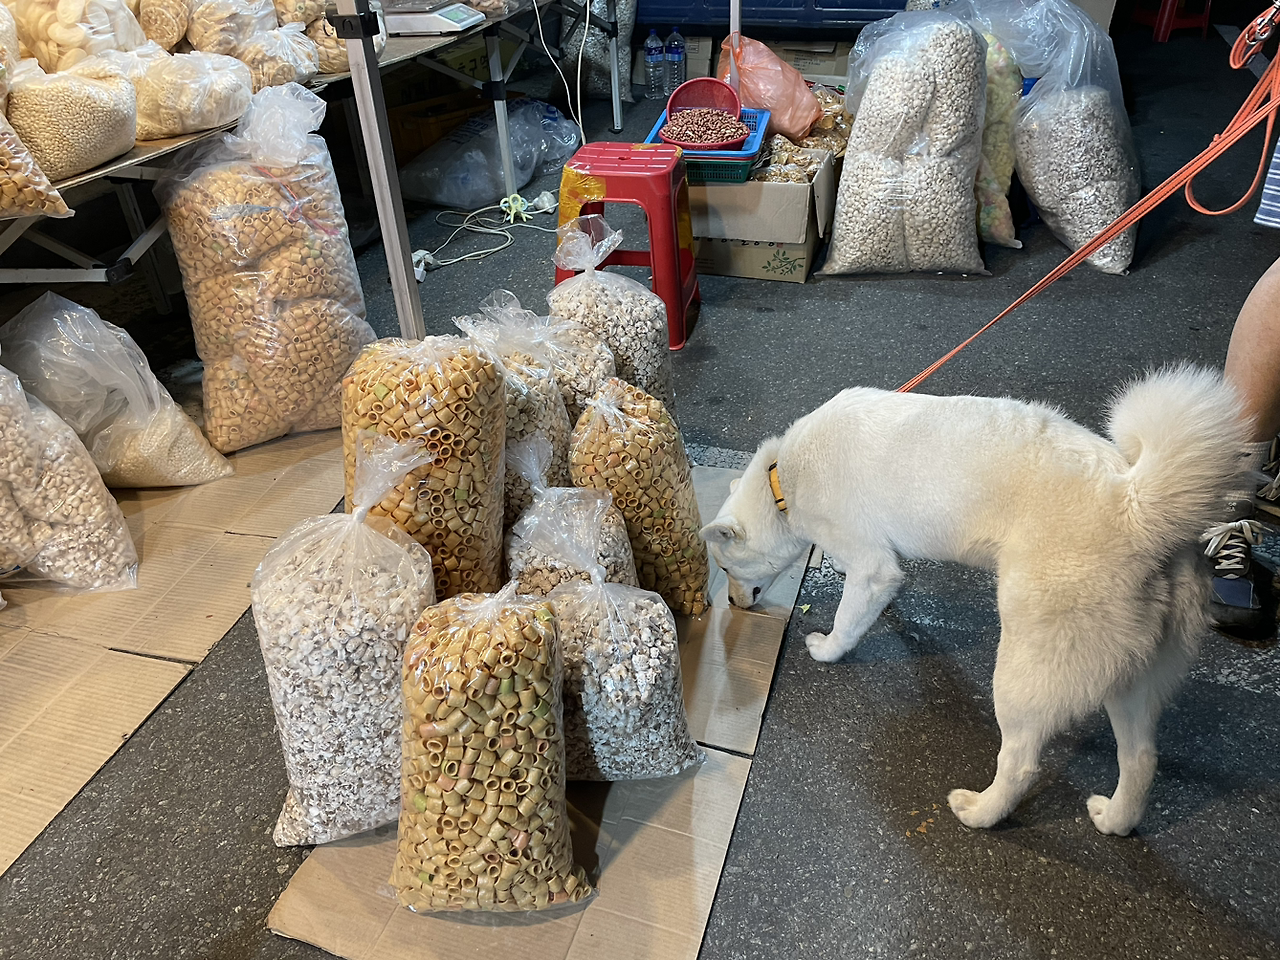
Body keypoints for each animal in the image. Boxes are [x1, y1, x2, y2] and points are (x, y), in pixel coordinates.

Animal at [701, 367, 1248, 835]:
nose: (734, 604)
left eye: (725, 570)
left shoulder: (871, 565)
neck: (783, 480)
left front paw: (827, 648)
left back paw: (980, 812)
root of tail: (1135, 505)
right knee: (1140, 759)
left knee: (1021, 763)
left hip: (1022, 675)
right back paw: (1115, 820)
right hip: (1131, 680)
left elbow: (848, 619)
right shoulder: (879, 564)